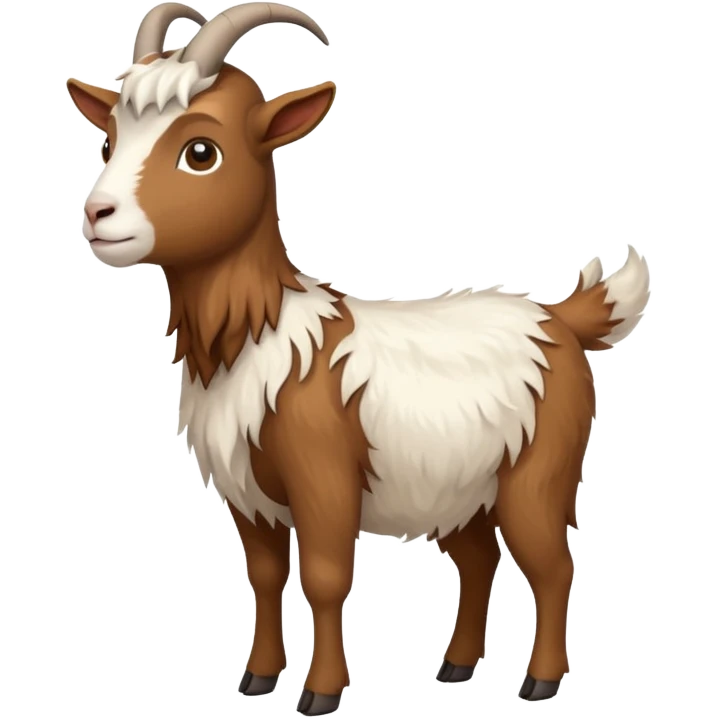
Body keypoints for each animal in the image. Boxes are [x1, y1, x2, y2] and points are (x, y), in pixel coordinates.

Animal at [66, 1, 653, 713]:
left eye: (200, 151)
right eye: (108, 141)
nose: (98, 214)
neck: (259, 335)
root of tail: (561, 318)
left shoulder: (323, 477)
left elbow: (323, 577)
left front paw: (320, 693)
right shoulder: (248, 492)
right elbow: (264, 575)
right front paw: (257, 678)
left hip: (539, 470)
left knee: (551, 563)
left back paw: (539, 681)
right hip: (459, 484)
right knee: (478, 559)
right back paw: (456, 666)